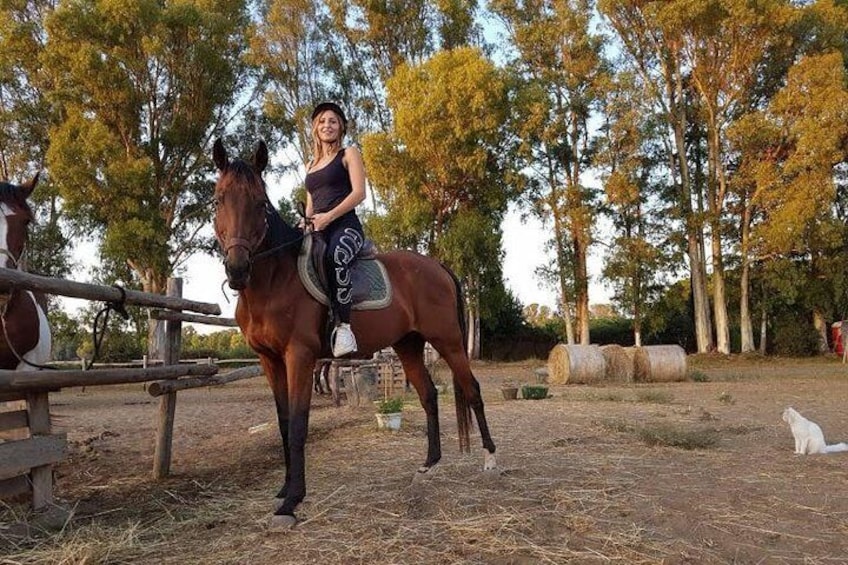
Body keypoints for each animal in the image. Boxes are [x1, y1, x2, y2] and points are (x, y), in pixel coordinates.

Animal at [212, 139, 496, 528]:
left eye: (260, 203)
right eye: (218, 200)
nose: (237, 269)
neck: (275, 280)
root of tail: (437, 265)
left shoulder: (299, 357)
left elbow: (298, 424)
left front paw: (292, 502)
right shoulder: (269, 360)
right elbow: (283, 424)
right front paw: (284, 490)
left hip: (449, 342)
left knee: (472, 391)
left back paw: (490, 459)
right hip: (408, 346)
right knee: (428, 395)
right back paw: (428, 465)